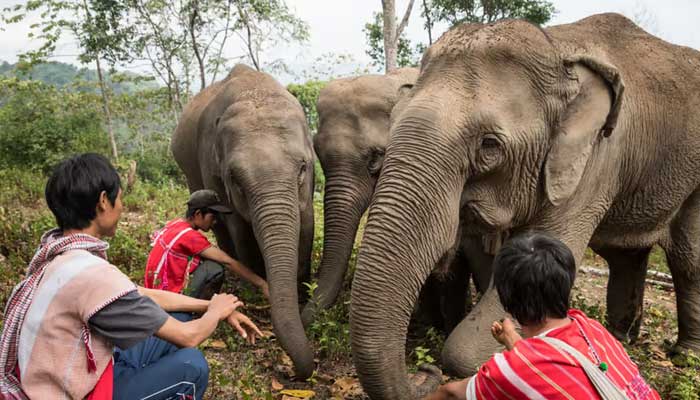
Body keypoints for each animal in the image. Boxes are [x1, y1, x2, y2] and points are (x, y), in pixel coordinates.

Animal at [172, 64, 318, 380]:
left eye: (303, 167)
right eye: (235, 179)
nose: (290, 373)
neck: (255, 91)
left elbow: (306, 224)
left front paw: (301, 293)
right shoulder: (211, 165)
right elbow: (240, 228)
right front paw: (259, 288)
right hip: (190, 171)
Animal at [350, 13, 700, 400]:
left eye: (489, 145)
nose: (422, 370)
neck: (557, 48)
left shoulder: (596, 160)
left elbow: (465, 347)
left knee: (688, 257)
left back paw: (684, 355)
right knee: (626, 256)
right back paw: (621, 338)